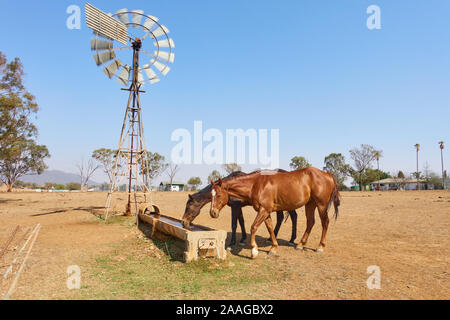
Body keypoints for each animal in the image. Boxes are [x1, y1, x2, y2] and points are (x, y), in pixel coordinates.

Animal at [209, 169, 340, 258]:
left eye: (219, 195)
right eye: (211, 195)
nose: (212, 213)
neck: (256, 184)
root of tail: (328, 174)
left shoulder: (264, 210)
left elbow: (253, 227)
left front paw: (254, 251)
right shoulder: (266, 211)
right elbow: (270, 228)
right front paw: (273, 247)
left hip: (321, 205)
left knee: (325, 222)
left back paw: (320, 246)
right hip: (310, 204)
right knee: (310, 222)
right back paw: (300, 244)